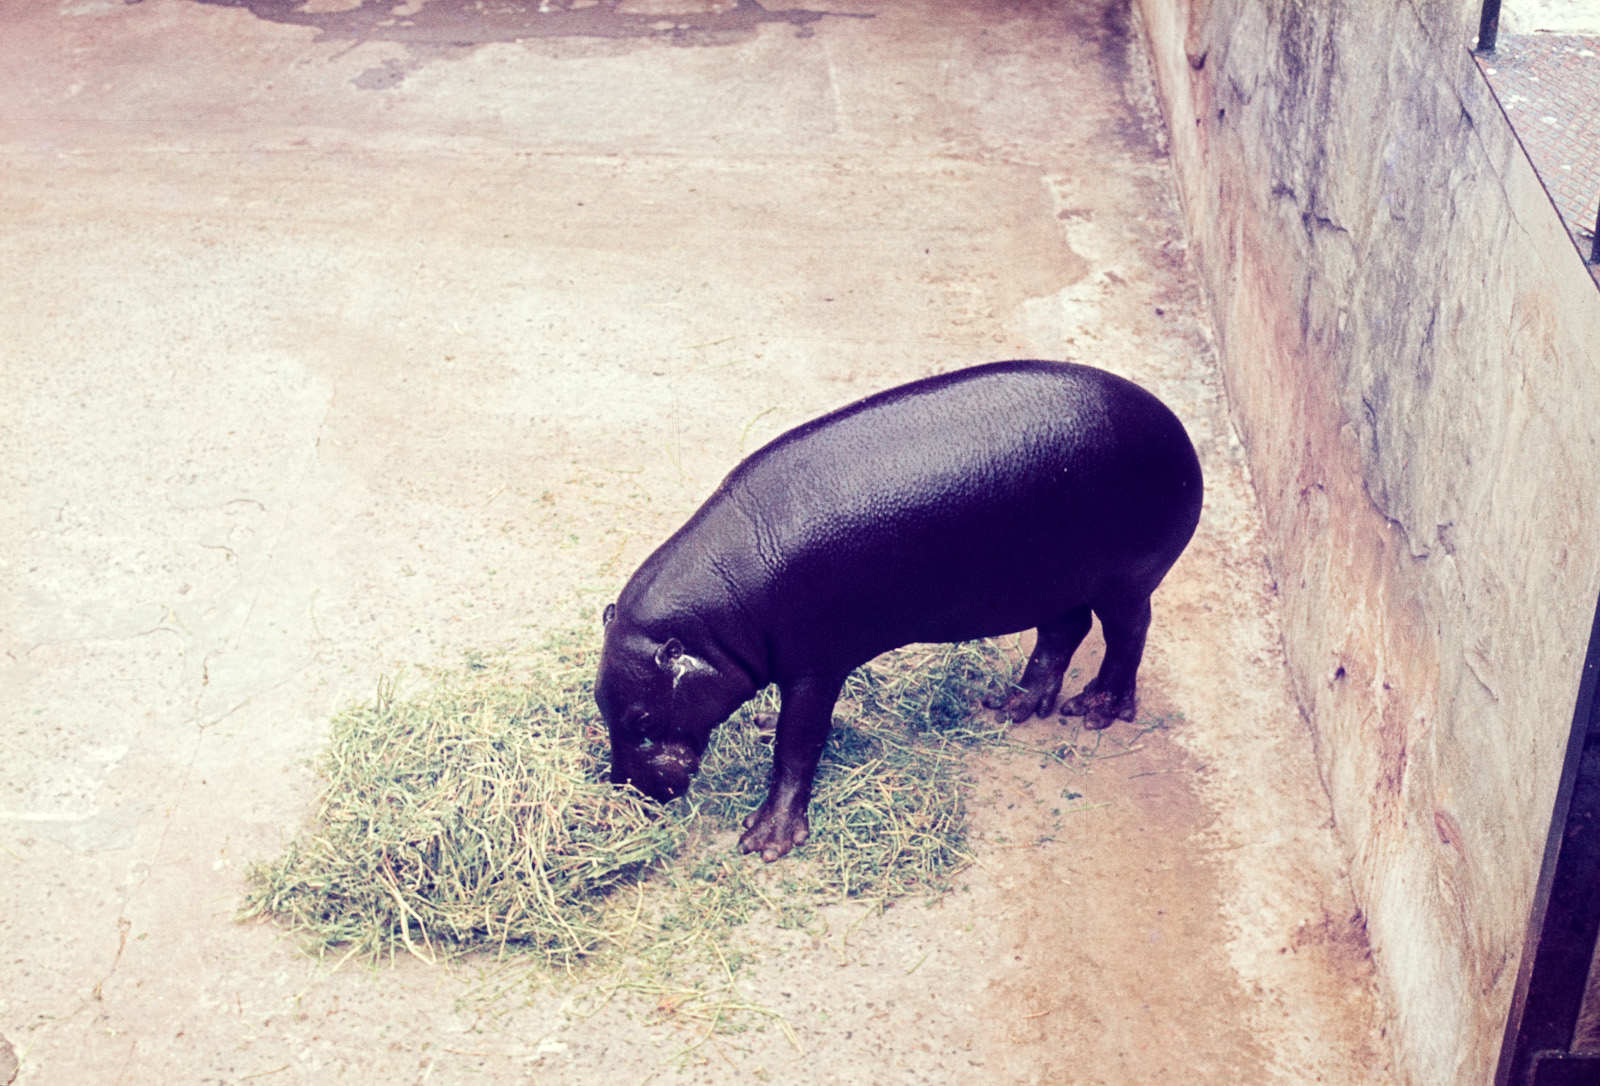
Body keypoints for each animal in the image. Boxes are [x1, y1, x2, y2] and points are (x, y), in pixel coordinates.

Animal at [595, 360, 1202, 861]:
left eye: (643, 719)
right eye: (601, 703)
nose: (625, 786)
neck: (718, 621)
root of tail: (1177, 429)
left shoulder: (816, 667)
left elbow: (799, 745)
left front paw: (767, 839)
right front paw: (764, 728)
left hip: (1126, 581)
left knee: (1128, 634)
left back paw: (1096, 709)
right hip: (1051, 582)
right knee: (1064, 629)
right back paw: (1013, 704)